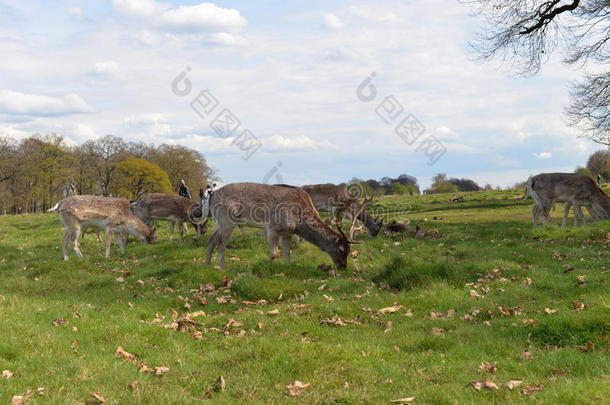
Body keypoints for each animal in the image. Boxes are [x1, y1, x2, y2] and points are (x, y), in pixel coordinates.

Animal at [201, 183, 366, 268]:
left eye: (350, 251)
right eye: (341, 250)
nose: (343, 267)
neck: (299, 224)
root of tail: (212, 195)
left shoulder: (287, 233)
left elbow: (287, 252)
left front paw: (287, 267)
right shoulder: (273, 228)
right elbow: (274, 253)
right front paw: (263, 267)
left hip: (219, 222)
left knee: (211, 240)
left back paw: (207, 265)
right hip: (226, 219)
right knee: (221, 244)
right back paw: (223, 267)